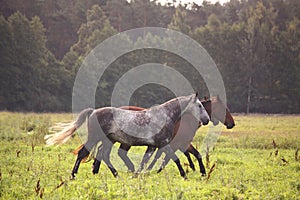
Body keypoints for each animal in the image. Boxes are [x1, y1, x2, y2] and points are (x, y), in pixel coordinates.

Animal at [45, 93, 209, 179]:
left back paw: (115, 174)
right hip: (94, 138)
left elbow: (145, 161)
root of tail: (93, 112)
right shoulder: (164, 143)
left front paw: (137, 175)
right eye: (199, 105)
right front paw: (185, 175)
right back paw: (73, 175)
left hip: (108, 140)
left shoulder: (153, 146)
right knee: (82, 154)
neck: (165, 116)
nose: (206, 120)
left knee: (104, 156)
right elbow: (175, 159)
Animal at [91, 96, 234, 176]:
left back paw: (97, 169)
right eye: (224, 108)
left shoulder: (174, 144)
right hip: (123, 141)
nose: (232, 124)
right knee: (116, 153)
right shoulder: (177, 144)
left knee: (103, 151)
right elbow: (172, 157)